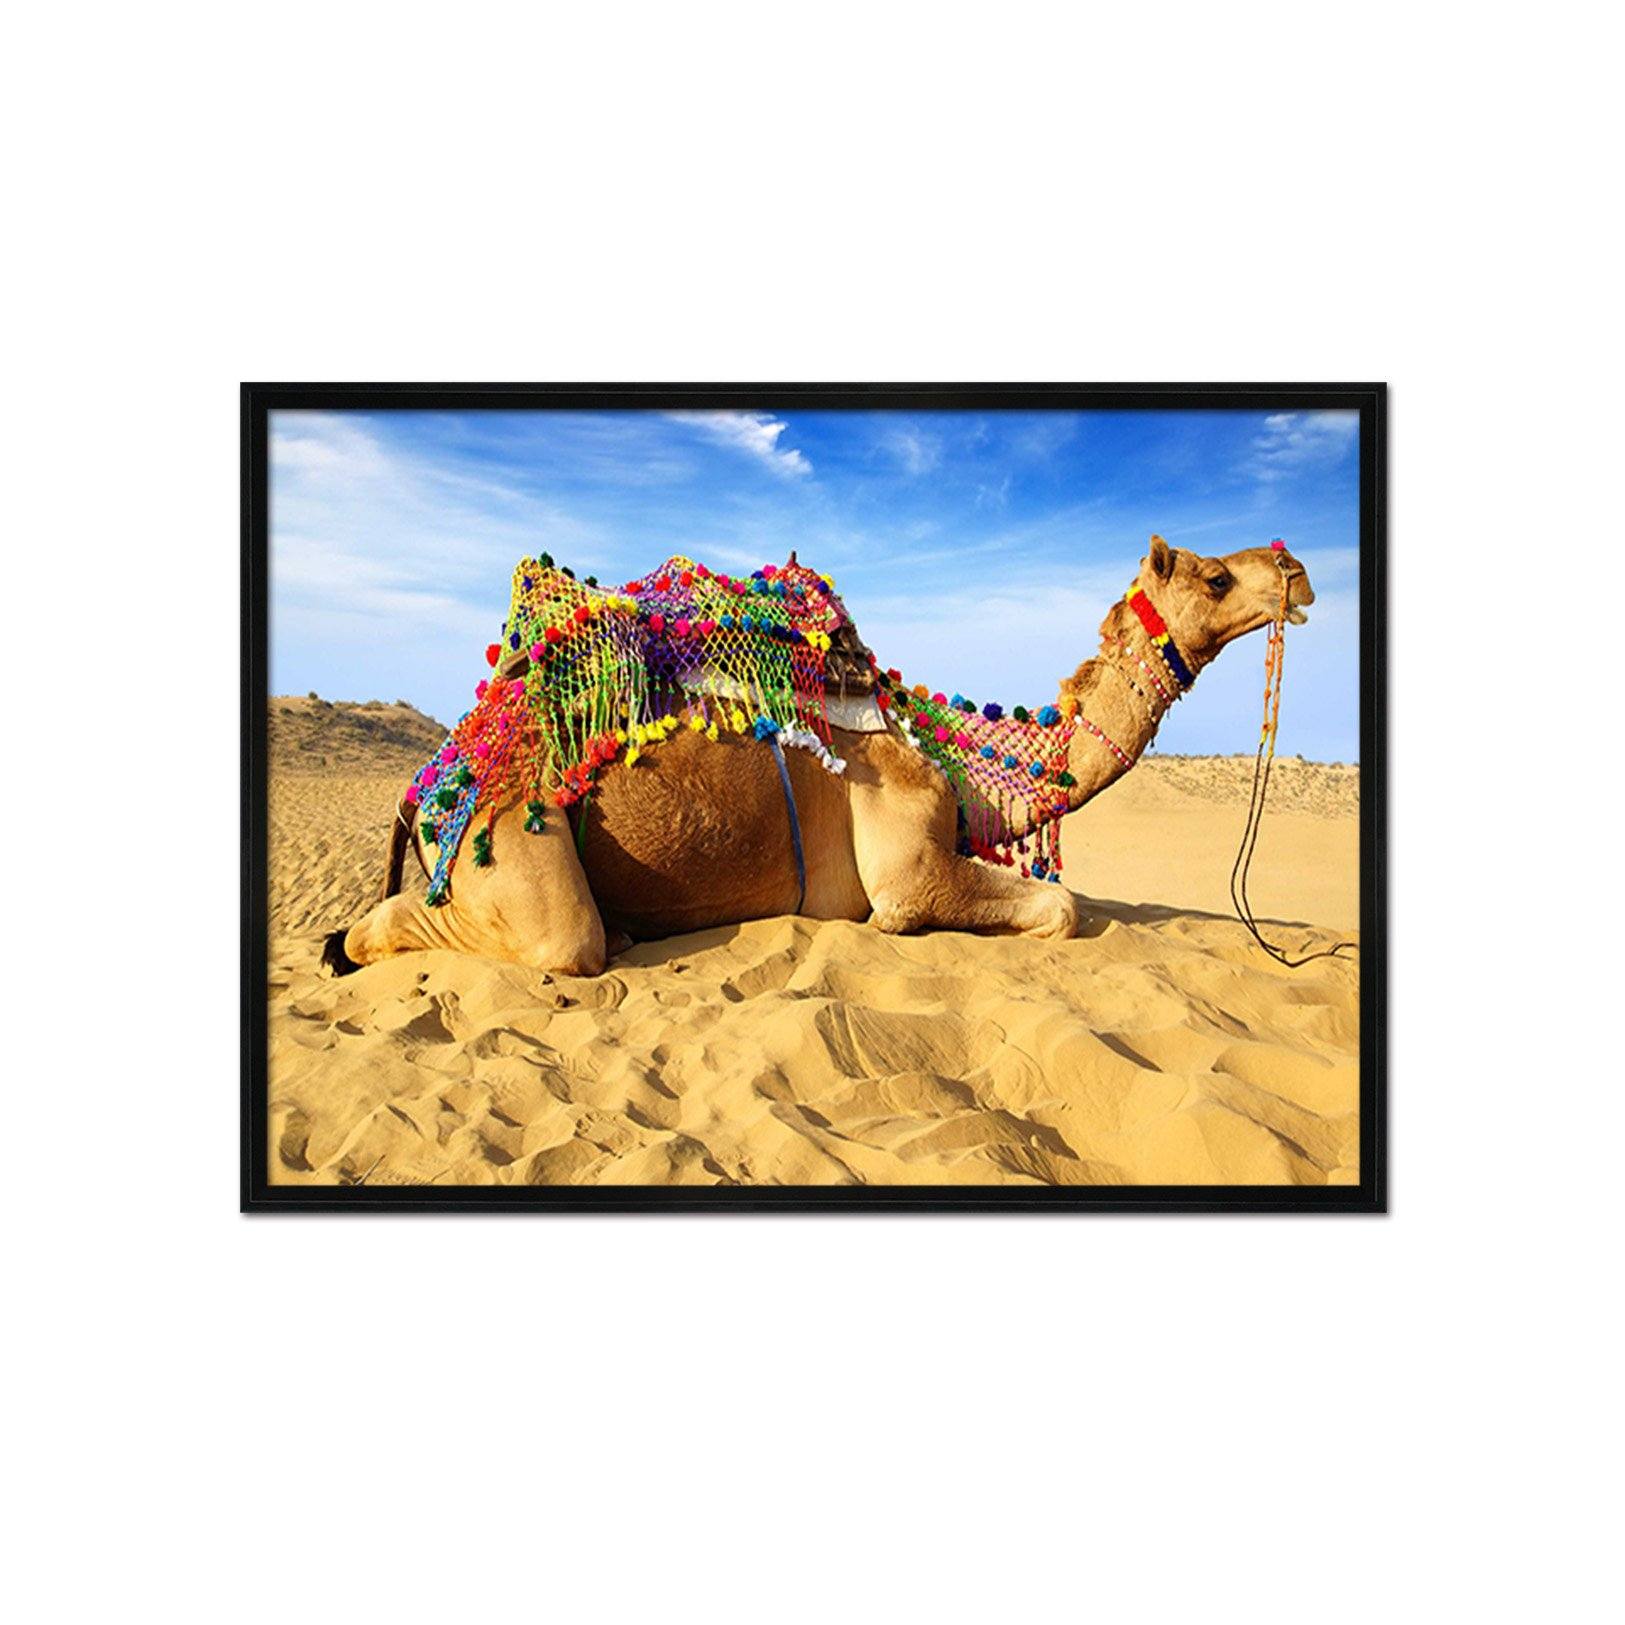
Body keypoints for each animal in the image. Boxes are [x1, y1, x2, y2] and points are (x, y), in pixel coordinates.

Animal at [322, 536, 1314, 977]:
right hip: (503, 830)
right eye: (1213, 577)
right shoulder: (908, 862)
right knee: (521, 935)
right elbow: (1058, 908)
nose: (1296, 569)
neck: (962, 764)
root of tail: (432, 777)